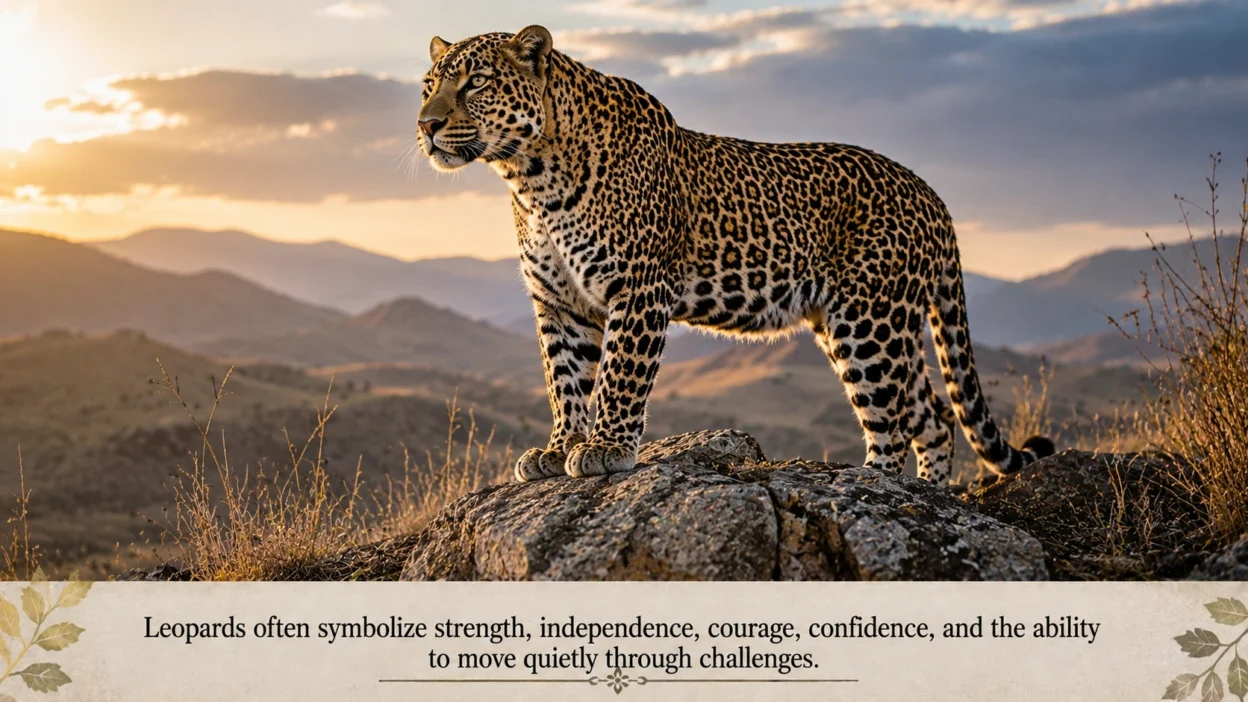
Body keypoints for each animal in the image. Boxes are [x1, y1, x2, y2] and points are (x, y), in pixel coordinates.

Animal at [416, 25, 1055, 485]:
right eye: (428, 86)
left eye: (476, 83)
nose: (425, 125)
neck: (530, 177)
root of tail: (931, 193)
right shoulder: (559, 302)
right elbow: (566, 381)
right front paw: (559, 448)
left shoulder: (637, 288)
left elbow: (618, 375)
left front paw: (605, 449)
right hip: (859, 324)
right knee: (934, 414)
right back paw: (927, 491)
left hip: (870, 323)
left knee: (893, 418)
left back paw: (876, 482)